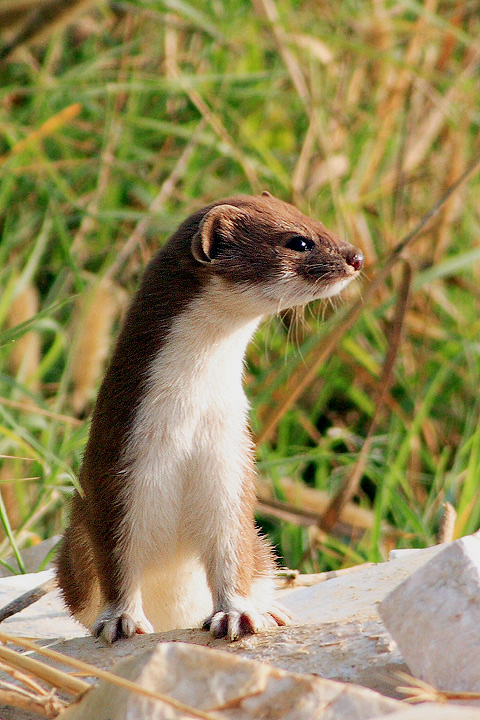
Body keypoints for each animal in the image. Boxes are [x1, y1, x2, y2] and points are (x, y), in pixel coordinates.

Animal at [55, 191, 364, 640]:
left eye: (314, 219)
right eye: (299, 241)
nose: (356, 256)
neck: (189, 419)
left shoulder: (231, 463)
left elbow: (231, 552)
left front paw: (239, 615)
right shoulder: (114, 470)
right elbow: (116, 562)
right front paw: (120, 620)